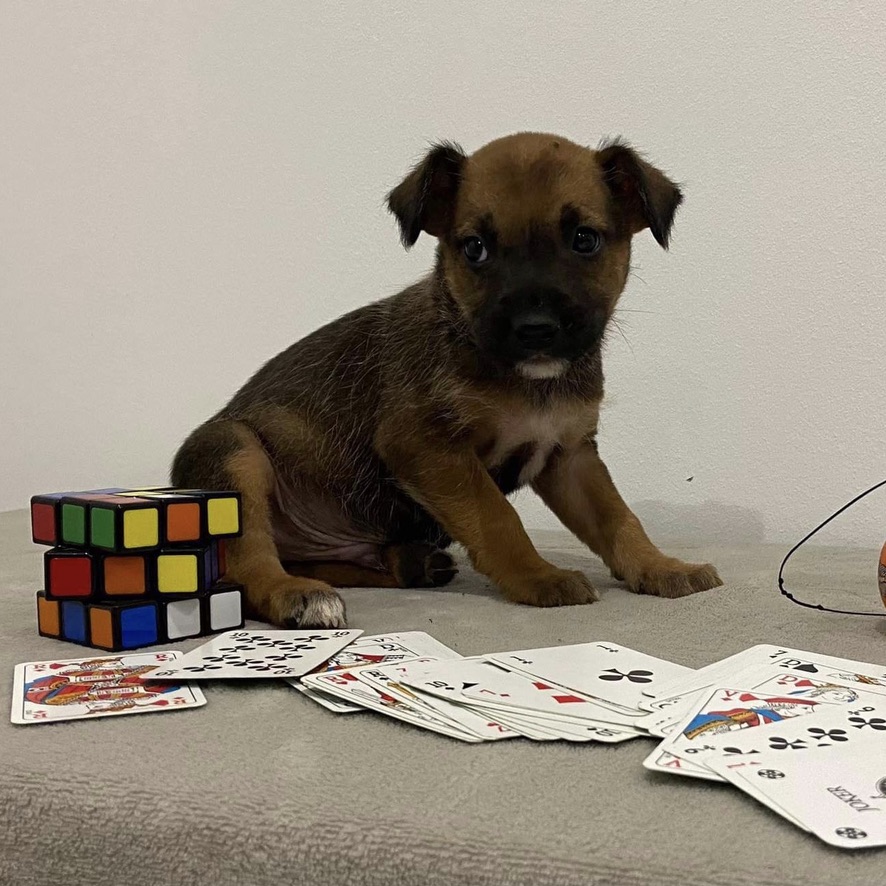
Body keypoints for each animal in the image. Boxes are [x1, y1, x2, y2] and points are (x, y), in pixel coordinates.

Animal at [172, 134, 720, 632]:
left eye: (584, 240)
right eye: (475, 249)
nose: (535, 328)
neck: (526, 381)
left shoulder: (571, 455)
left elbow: (618, 518)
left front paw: (661, 567)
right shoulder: (429, 448)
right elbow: (498, 518)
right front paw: (537, 576)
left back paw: (409, 565)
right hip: (235, 452)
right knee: (250, 563)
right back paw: (297, 594)